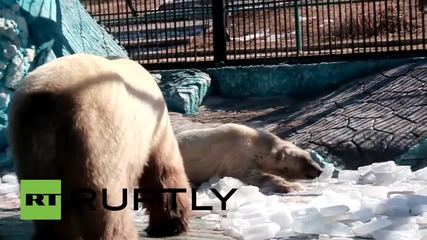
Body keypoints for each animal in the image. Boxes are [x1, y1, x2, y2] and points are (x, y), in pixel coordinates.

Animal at [7, 54, 191, 240]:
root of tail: (46, 102)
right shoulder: (154, 129)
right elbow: (162, 171)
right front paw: (170, 224)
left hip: (28, 146)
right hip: (96, 132)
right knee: (105, 201)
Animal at [176, 124, 322, 193]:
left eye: (310, 157)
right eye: (306, 161)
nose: (319, 170)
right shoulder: (237, 156)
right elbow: (252, 175)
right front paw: (292, 186)